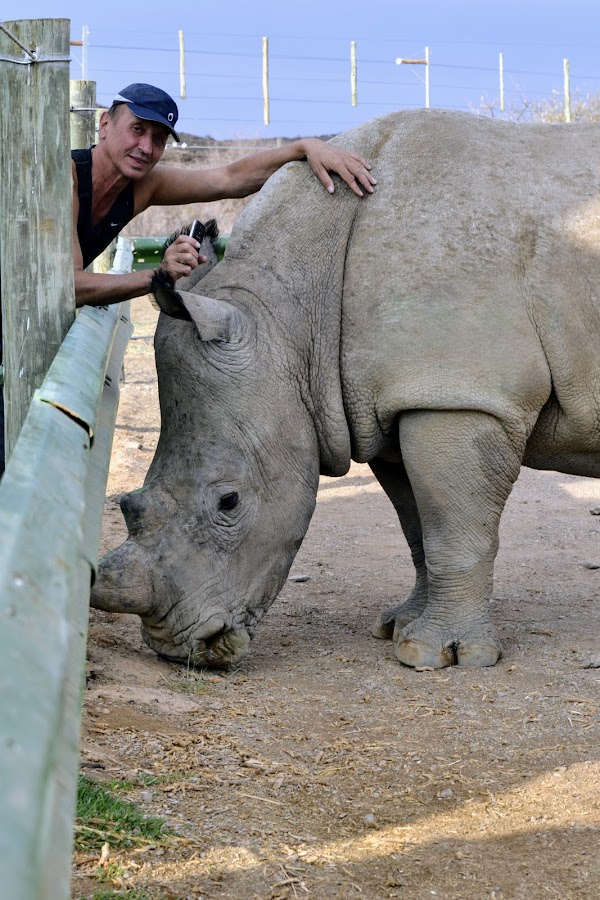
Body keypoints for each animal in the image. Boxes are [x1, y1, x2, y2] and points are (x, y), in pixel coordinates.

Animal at [91, 110, 600, 668]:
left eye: (229, 502)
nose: (179, 650)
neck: (289, 319)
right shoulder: (394, 399)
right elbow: (418, 526)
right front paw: (398, 628)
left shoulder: (457, 395)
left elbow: (454, 529)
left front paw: (437, 655)